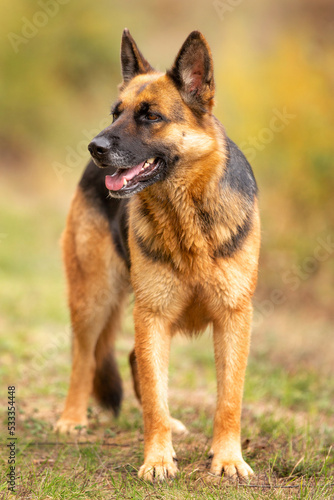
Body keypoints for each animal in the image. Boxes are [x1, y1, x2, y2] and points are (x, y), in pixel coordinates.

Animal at [54, 29, 260, 482]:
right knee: (83, 358)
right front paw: (158, 460)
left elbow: (229, 398)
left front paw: (228, 458)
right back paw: (71, 418)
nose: (94, 147)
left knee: (130, 360)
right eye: (116, 113)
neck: (188, 217)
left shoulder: (233, 318)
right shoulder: (153, 316)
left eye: (151, 117)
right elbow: (153, 398)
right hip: (94, 299)